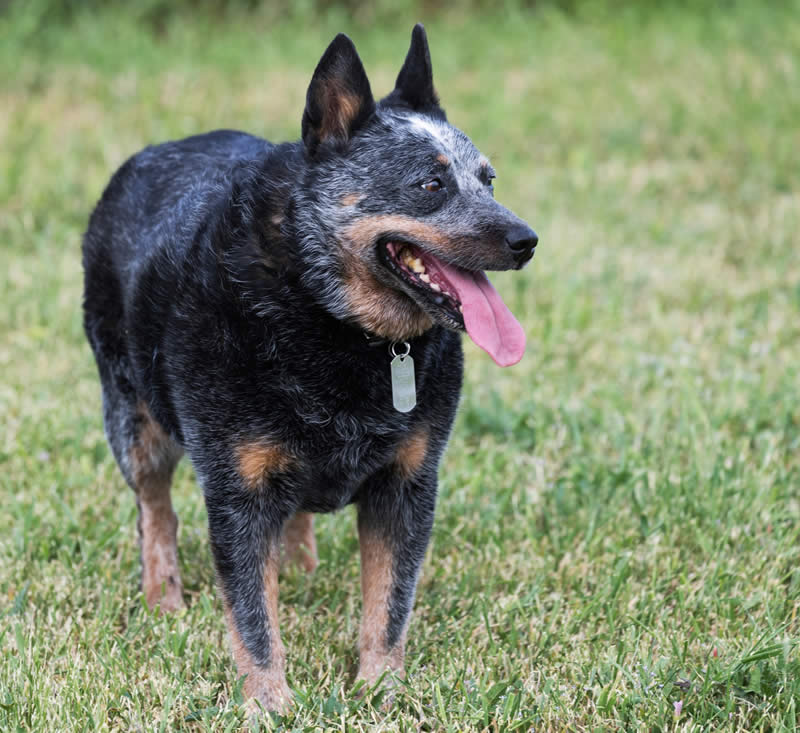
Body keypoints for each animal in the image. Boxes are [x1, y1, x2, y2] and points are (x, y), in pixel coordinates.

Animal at [81, 22, 536, 708]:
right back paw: (164, 599)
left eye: (488, 180)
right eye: (430, 185)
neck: (333, 322)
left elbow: (389, 604)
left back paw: (300, 569)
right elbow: (253, 618)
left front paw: (381, 691)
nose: (525, 240)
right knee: (154, 508)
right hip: (132, 414)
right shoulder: (237, 490)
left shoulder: (408, 482)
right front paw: (268, 705)